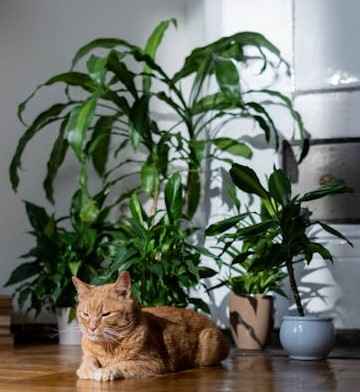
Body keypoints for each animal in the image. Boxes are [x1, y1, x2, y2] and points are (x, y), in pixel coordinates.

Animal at [73, 272, 229, 380]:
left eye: (106, 314)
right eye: (85, 314)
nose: (91, 328)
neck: (107, 347)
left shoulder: (154, 364)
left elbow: (123, 364)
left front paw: (106, 370)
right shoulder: (88, 356)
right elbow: (87, 363)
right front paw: (89, 370)